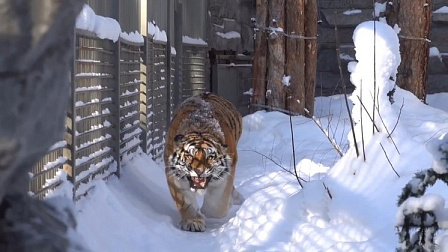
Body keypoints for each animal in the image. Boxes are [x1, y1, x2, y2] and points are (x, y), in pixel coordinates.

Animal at [163, 92, 243, 232]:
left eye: (210, 157)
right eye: (189, 156)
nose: (198, 171)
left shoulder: (226, 176)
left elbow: (215, 208)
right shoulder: (175, 176)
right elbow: (186, 202)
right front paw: (193, 221)